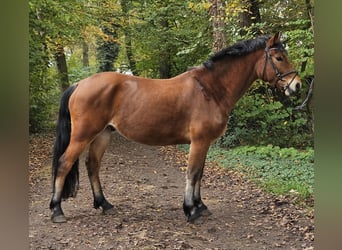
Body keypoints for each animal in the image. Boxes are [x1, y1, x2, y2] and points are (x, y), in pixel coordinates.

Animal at [49, 32, 300, 223]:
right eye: (279, 57)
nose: (296, 85)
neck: (210, 89)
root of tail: (80, 84)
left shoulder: (205, 143)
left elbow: (200, 174)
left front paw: (200, 205)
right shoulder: (199, 141)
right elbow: (192, 173)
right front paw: (190, 210)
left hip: (102, 135)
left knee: (93, 166)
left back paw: (104, 204)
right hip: (82, 136)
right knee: (64, 164)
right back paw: (57, 210)